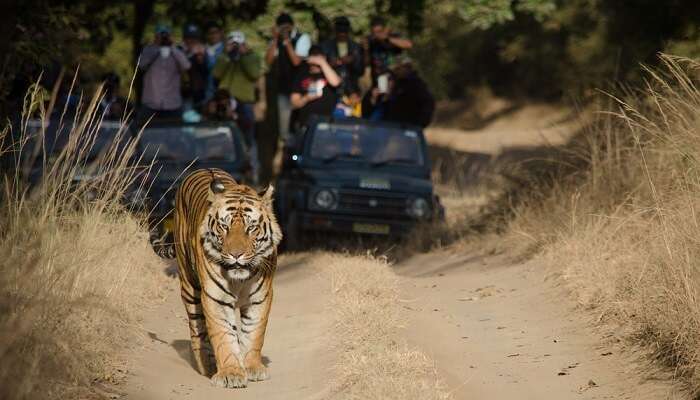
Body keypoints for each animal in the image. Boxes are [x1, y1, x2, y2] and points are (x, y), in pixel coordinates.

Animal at [170, 168, 282, 388]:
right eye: (224, 227)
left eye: (251, 228)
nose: (235, 254)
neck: (239, 279)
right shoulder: (215, 299)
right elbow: (223, 336)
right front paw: (231, 373)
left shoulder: (260, 297)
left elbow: (253, 333)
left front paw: (252, 367)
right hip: (189, 286)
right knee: (197, 329)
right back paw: (205, 365)